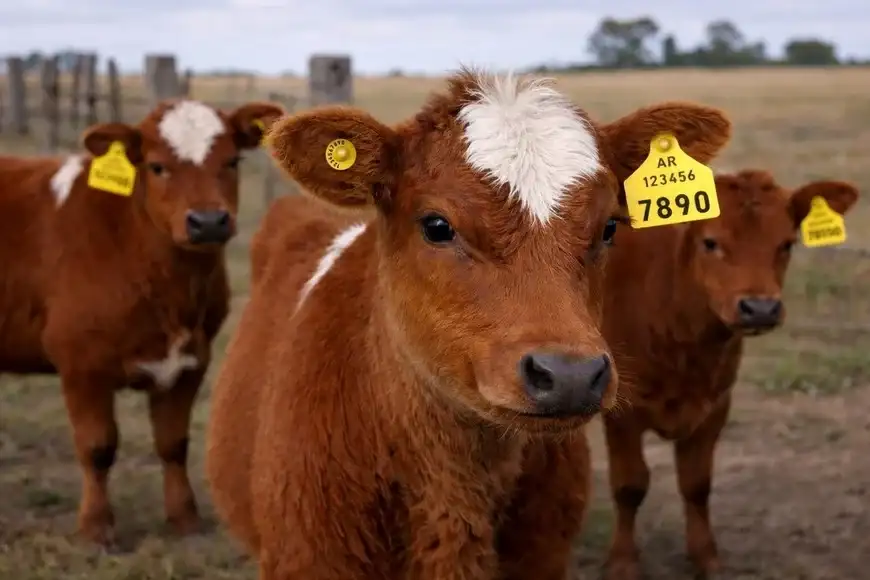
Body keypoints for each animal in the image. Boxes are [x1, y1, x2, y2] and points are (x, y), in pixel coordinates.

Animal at [0, 98, 284, 544]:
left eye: (232, 160)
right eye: (156, 166)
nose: (208, 222)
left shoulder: (192, 359)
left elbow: (174, 442)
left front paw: (185, 518)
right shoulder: (80, 361)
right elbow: (97, 446)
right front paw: (96, 526)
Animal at [600, 168, 860, 579]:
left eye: (787, 243)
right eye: (711, 242)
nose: (760, 308)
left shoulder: (716, 404)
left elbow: (697, 484)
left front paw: (706, 557)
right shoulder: (621, 410)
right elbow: (630, 485)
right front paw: (623, 562)